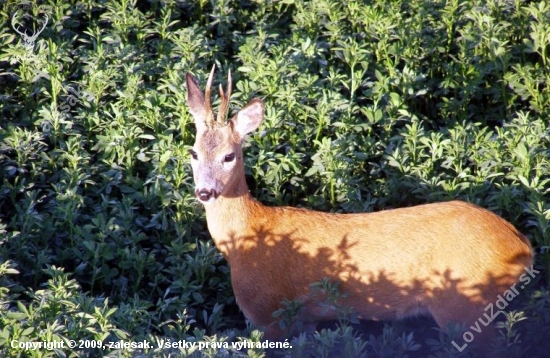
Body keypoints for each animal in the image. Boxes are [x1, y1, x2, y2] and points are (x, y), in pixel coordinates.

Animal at [185, 66, 536, 346]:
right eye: (193, 152)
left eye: (229, 155)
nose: (204, 192)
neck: (245, 236)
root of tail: (522, 246)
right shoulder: (305, 320)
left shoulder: (269, 311)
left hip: (465, 301)